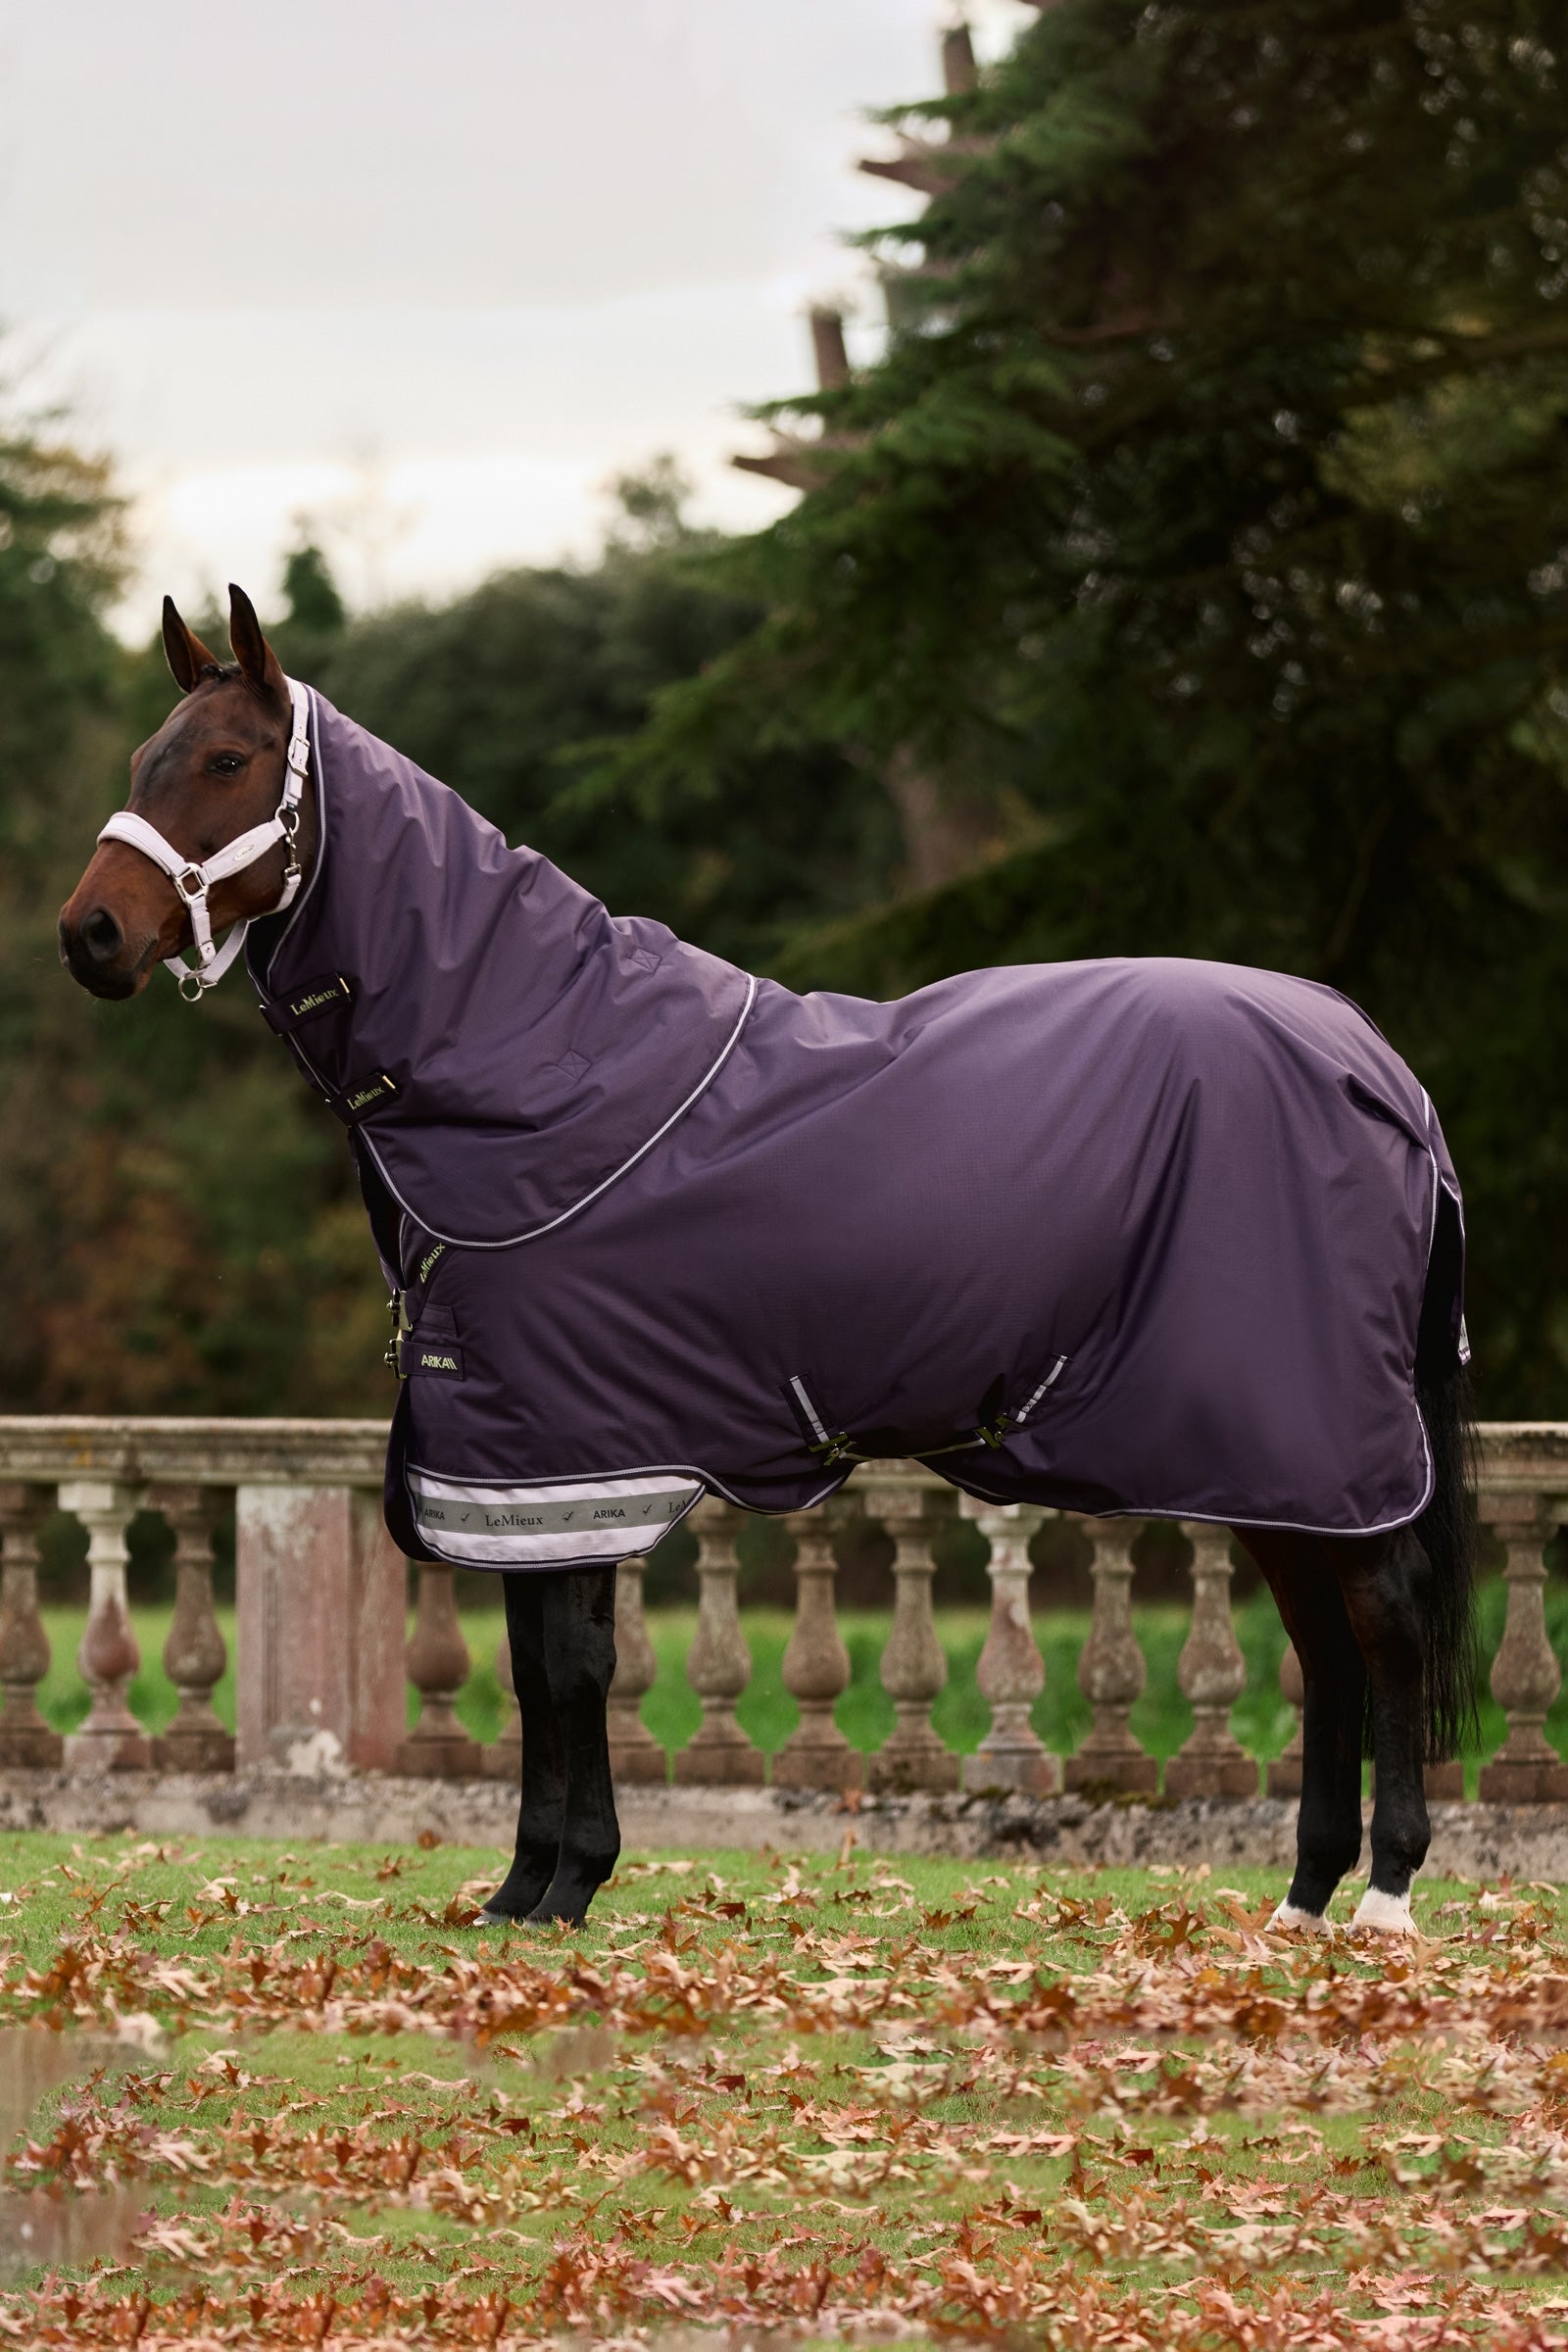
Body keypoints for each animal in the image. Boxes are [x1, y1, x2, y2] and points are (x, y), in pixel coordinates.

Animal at [59, 584, 1478, 1934]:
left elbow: (571, 1667)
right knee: (1326, 1646)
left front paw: (567, 1884)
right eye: (139, 759)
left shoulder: (568, 1447)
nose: (91, 937)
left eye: (228, 760)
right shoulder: (521, 1466)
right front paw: (522, 1891)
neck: (541, 1069)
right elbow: (532, 1665)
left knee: (1387, 1621)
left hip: (1314, 1434)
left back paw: (1389, 1895)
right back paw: (1302, 1898)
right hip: (1269, 1458)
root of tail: (1376, 1062)